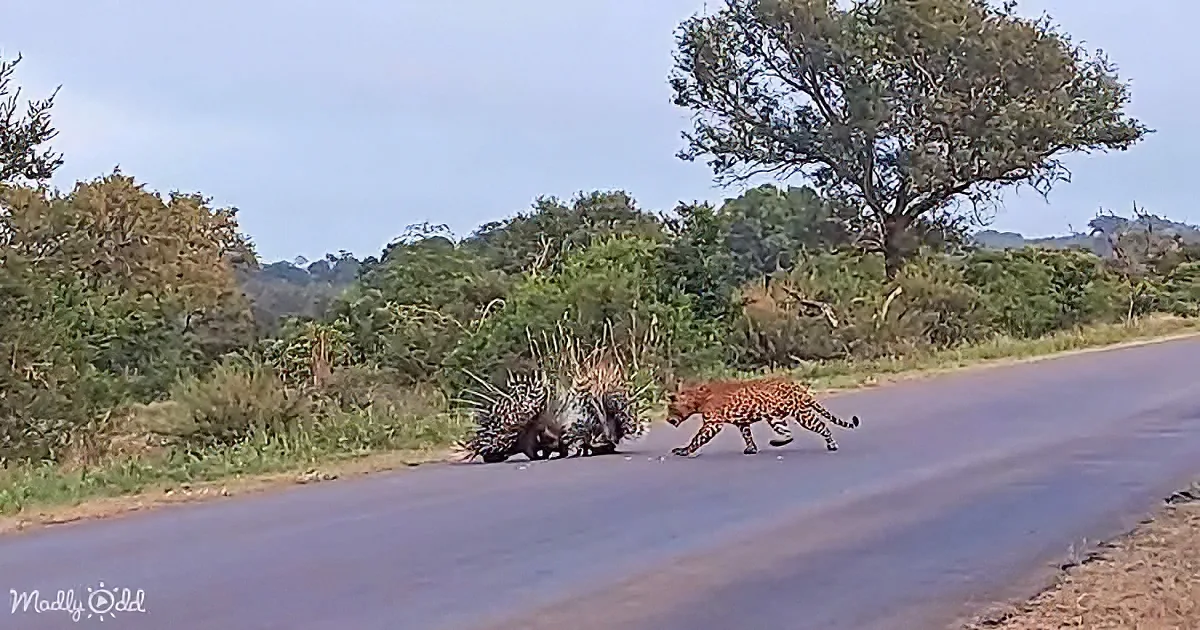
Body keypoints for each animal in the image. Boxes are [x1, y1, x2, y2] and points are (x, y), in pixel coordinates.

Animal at [664, 375, 860, 457]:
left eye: (670, 408)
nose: (667, 419)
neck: (696, 399)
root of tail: (798, 386)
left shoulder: (712, 423)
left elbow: (697, 439)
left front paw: (683, 451)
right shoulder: (742, 422)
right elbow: (747, 435)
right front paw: (751, 449)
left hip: (801, 413)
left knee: (822, 426)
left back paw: (832, 444)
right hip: (774, 416)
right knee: (787, 432)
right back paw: (776, 442)